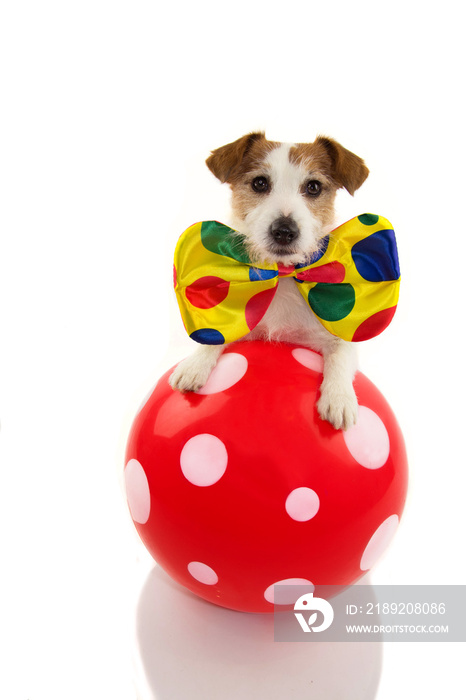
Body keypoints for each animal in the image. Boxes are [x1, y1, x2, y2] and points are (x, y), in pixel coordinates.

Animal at [169, 130, 370, 426]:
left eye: (313, 187)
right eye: (260, 183)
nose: (284, 231)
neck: (282, 273)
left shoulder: (334, 335)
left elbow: (341, 355)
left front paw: (339, 399)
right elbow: (216, 338)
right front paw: (194, 365)